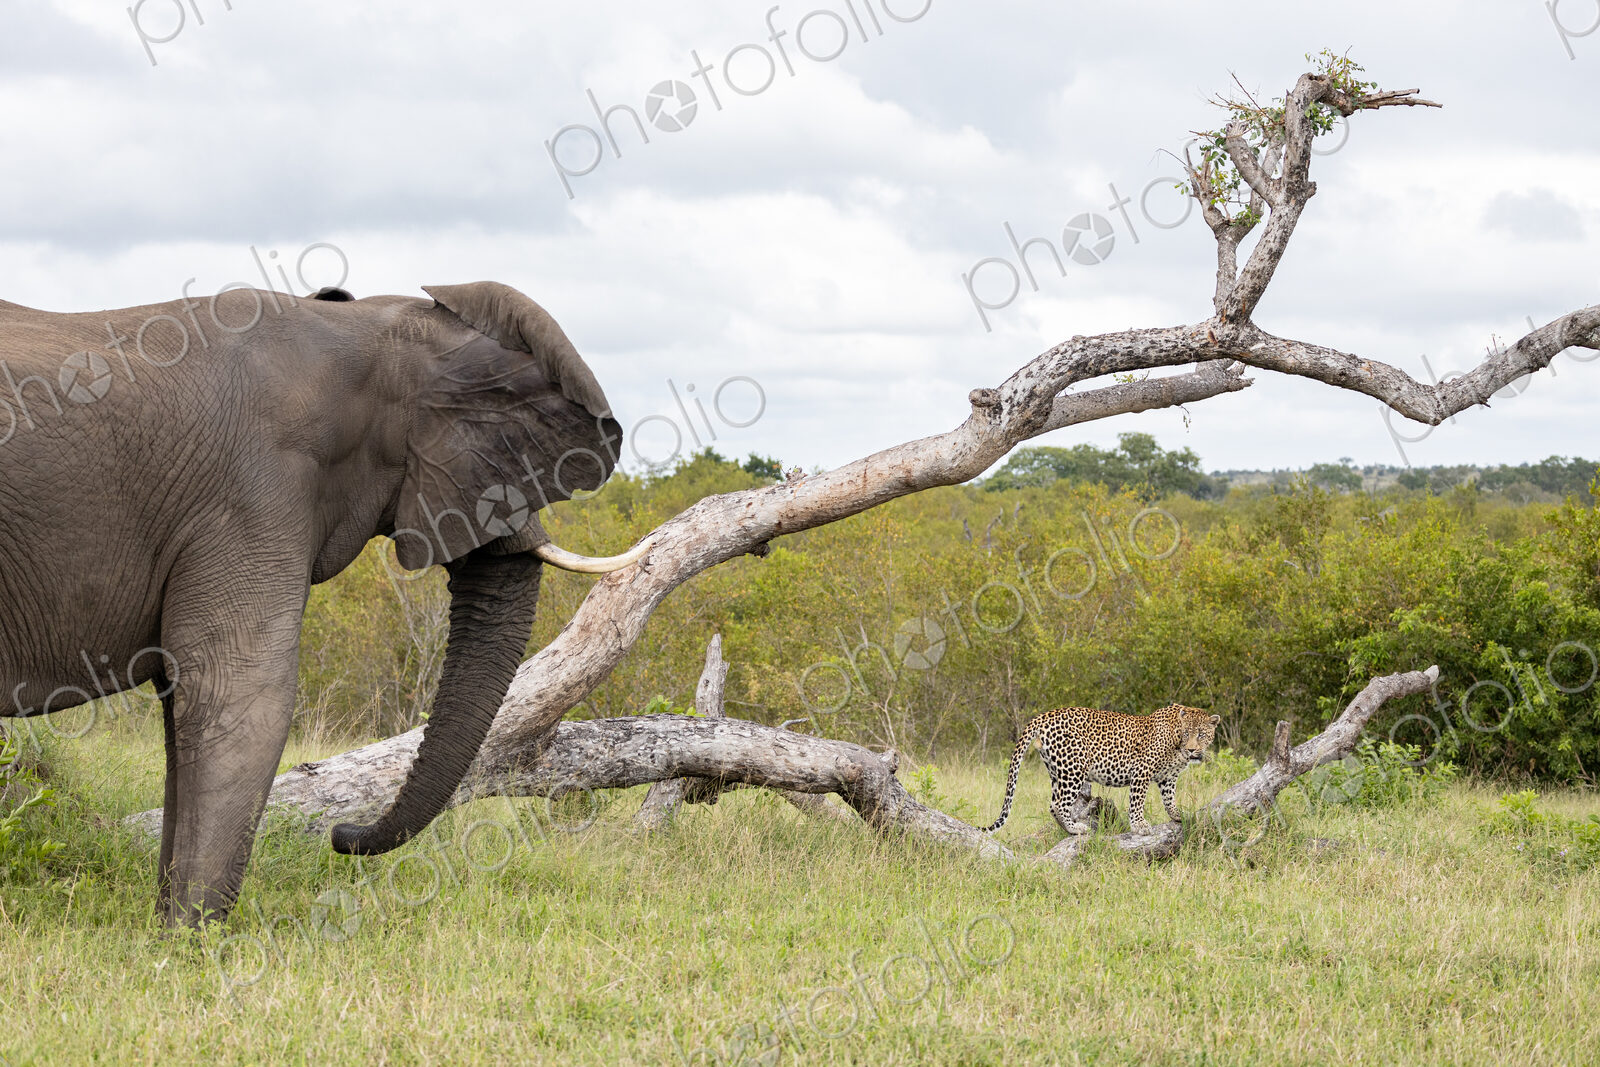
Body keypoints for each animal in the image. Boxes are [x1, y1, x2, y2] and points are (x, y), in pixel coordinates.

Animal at [0, 280, 647, 926]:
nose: (341, 835)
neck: (361, 332)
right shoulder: (256, 490)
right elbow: (241, 690)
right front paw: (191, 940)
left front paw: (169, 930)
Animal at [981, 704, 1220, 836]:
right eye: (1186, 732)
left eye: (1201, 734)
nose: (1192, 749)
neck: (1176, 744)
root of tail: (1045, 715)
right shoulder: (1141, 770)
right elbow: (1137, 801)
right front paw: (1139, 826)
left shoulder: (1169, 777)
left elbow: (1169, 798)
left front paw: (1178, 815)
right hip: (1073, 768)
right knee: (1059, 804)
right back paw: (1075, 828)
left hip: (1056, 769)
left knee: (1053, 804)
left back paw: (1068, 829)